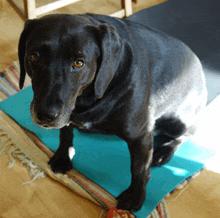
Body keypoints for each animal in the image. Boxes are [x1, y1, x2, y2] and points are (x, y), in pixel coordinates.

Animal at [18, 13, 207, 211]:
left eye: (78, 63)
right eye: (34, 57)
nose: (45, 115)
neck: (86, 99)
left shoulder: (141, 135)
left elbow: (139, 170)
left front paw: (135, 197)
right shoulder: (67, 114)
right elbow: (65, 134)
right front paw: (63, 156)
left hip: (179, 122)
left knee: (188, 133)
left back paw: (164, 152)